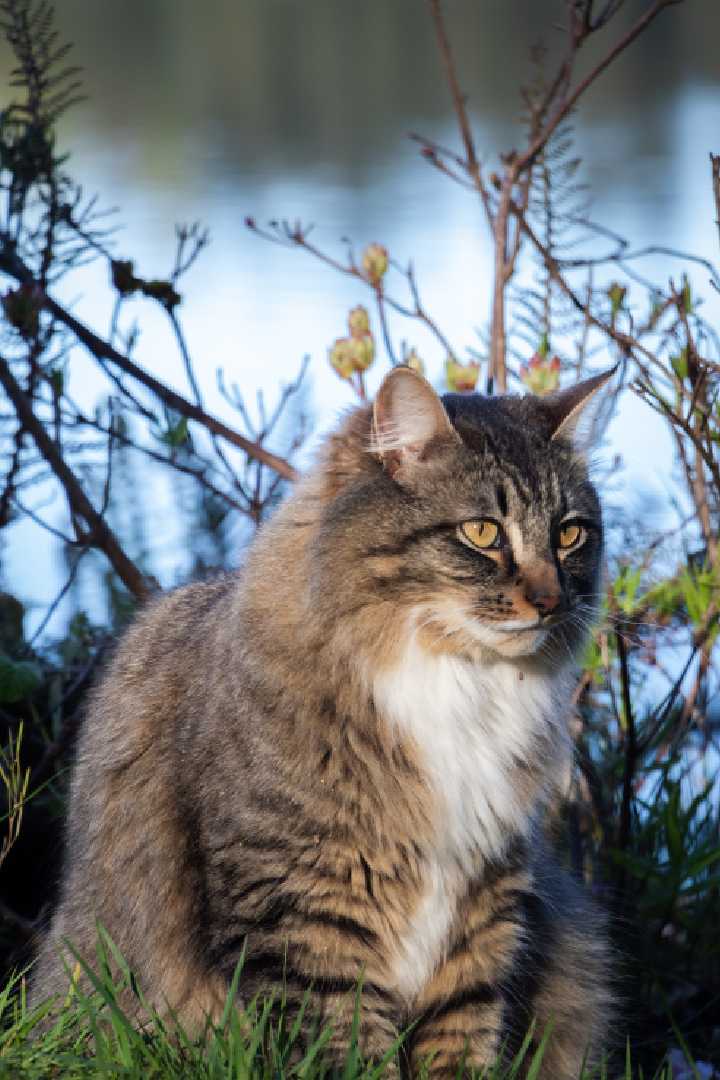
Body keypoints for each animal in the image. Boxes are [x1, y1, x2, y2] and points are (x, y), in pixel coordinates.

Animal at [32, 367, 613, 1075]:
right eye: (482, 532)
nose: (552, 601)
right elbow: (348, 1050)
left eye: (569, 534)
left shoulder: (482, 918)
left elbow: (462, 1046)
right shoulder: (310, 918)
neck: (461, 683)